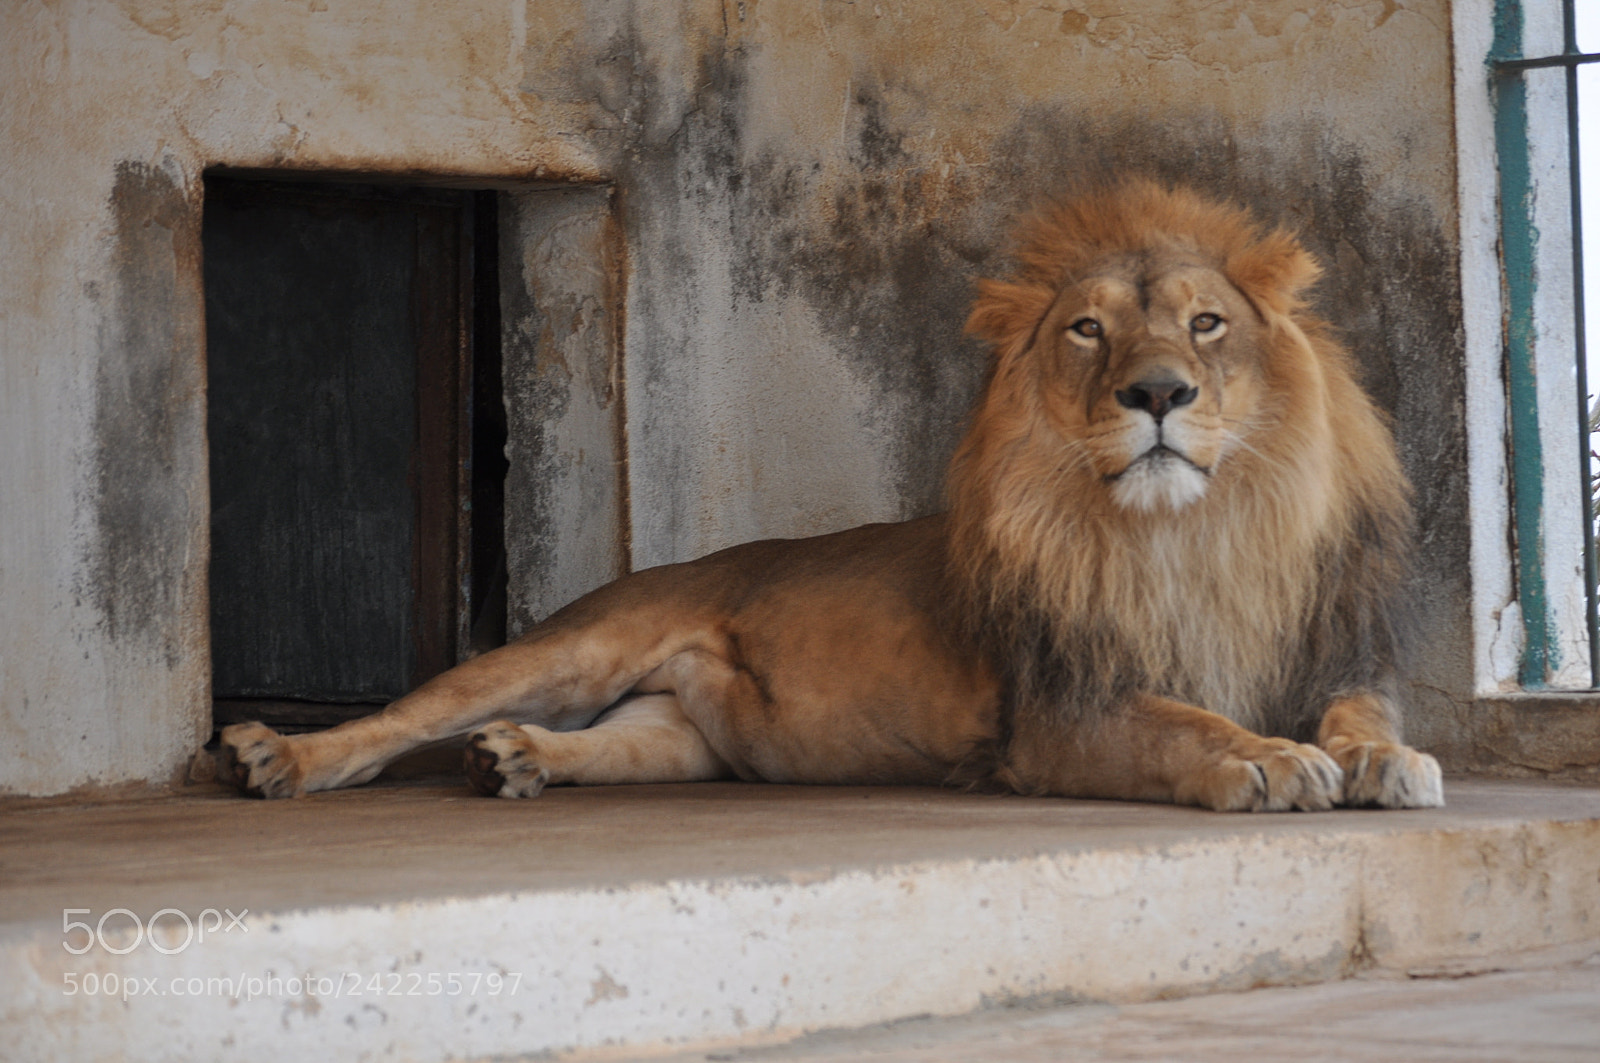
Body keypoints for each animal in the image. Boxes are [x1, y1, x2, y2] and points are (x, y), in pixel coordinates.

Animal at [219, 181, 1443, 812]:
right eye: (1090, 329)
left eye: (1206, 323)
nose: (1155, 391)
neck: (1196, 537)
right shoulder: (1058, 716)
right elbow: (1179, 720)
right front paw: (1268, 759)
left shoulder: (1333, 652)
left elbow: (1365, 713)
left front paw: (1382, 760)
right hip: (575, 645)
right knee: (402, 719)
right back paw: (279, 757)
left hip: (681, 739)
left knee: (612, 745)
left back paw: (517, 758)